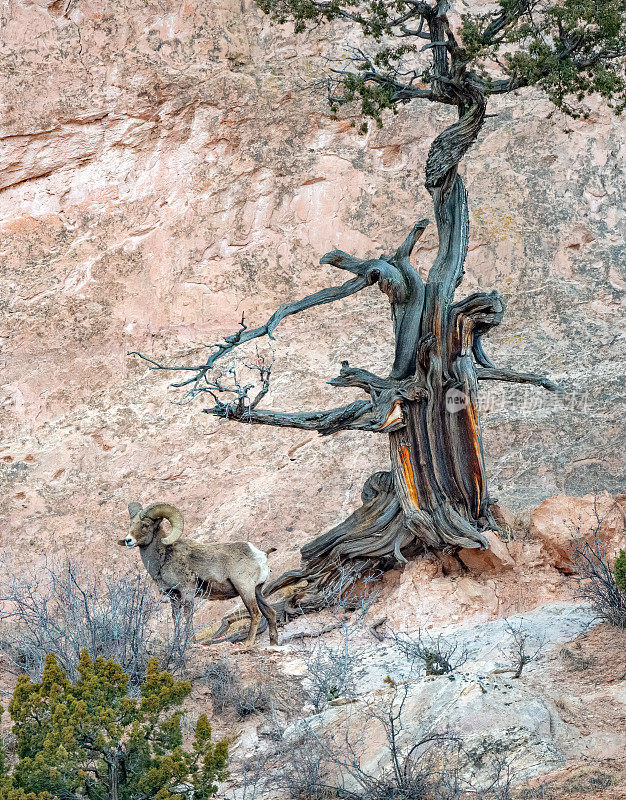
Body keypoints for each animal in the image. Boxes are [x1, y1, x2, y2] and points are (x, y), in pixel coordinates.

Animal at [119, 504, 278, 648]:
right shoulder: (173, 595)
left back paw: (247, 643)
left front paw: (191, 642)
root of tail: (261, 555)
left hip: (245, 589)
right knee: (270, 613)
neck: (164, 558)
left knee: (256, 614)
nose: (128, 540)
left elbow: (188, 615)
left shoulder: (187, 591)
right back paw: (273, 643)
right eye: (131, 524)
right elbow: (176, 618)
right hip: (257, 591)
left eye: (145, 525)